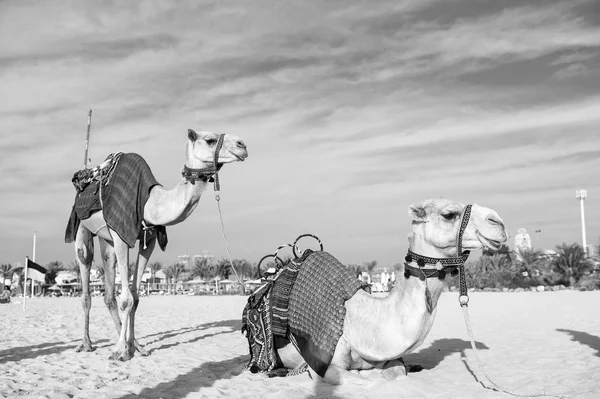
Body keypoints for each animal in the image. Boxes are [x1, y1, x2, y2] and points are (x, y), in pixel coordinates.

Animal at [68, 130, 248, 360]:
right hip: (81, 227)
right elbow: (126, 299)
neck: (149, 203)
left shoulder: (150, 239)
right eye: (210, 140)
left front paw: (132, 346)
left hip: (105, 237)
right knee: (85, 271)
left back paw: (132, 343)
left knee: (109, 291)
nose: (243, 145)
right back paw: (87, 343)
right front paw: (119, 351)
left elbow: (135, 298)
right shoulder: (121, 234)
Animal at [276, 200, 506, 384]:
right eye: (449, 214)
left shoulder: (390, 357)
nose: (499, 223)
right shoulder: (323, 365)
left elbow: (396, 374)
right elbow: (359, 379)